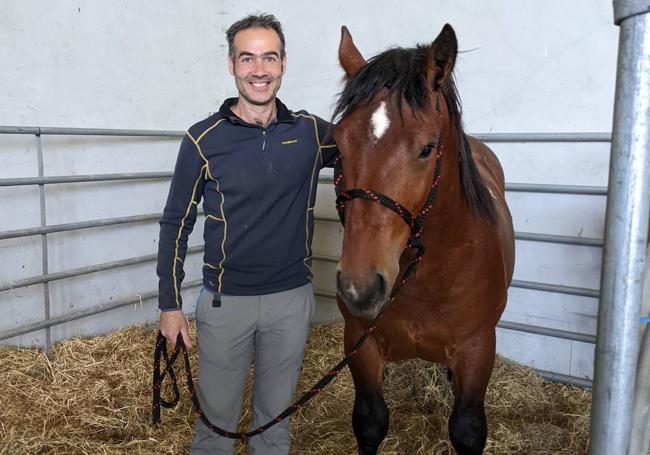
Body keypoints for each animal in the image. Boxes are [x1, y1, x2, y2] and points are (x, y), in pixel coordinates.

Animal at [332, 25, 512, 455]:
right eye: (338, 145)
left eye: (427, 148)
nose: (359, 287)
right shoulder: (360, 343)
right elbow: (370, 421)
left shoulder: (478, 349)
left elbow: (467, 428)